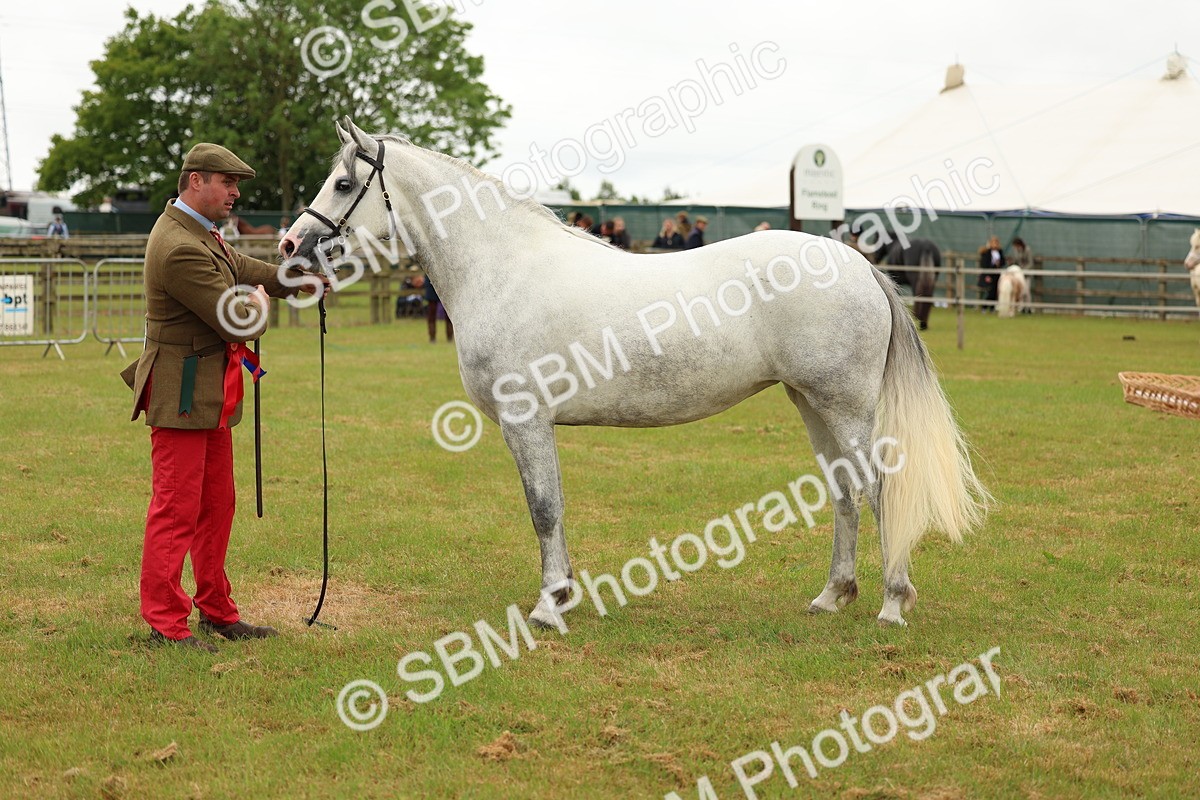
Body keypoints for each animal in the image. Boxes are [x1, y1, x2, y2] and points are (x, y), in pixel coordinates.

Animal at [279, 117, 989, 628]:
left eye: (342, 185)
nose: (289, 246)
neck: (505, 268)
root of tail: (856, 262)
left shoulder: (525, 419)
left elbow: (543, 508)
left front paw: (548, 607)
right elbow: (552, 507)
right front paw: (563, 596)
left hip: (844, 405)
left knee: (878, 489)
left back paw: (892, 602)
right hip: (811, 403)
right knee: (843, 491)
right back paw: (832, 595)